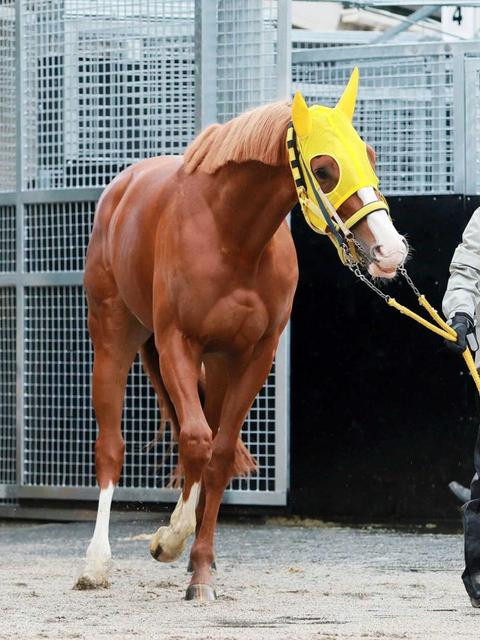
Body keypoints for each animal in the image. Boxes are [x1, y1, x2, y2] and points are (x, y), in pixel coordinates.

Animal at [77, 67, 406, 596]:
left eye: (370, 156)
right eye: (325, 168)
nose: (390, 251)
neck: (229, 235)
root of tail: (121, 189)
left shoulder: (254, 354)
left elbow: (220, 453)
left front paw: (201, 569)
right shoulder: (177, 344)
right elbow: (195, 440)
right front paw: (169, 540)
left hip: (216, 363)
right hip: (113, 339)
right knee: (112, 448)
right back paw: (95, 564)